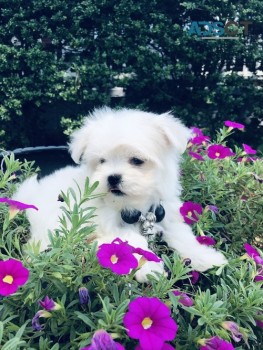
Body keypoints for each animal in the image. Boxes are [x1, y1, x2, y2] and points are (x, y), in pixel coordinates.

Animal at [13, 107, 227, 282]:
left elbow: (183, 236)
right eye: (102, 161)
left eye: (137, 160)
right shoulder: (103, 223)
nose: (113, 177)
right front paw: (149, 267)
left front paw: (206, 257)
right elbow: (131, 241)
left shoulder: (166, 214)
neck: (134, 205)